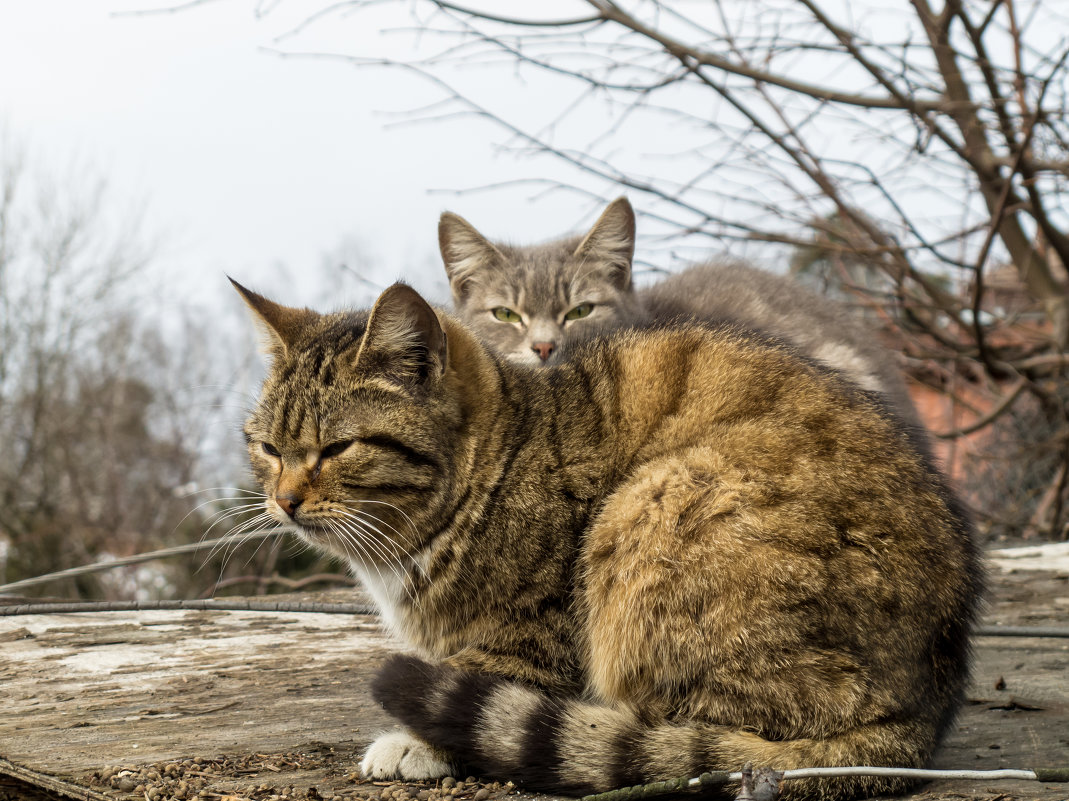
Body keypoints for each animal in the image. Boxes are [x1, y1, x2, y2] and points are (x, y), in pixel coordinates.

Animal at [236, 275, 983, 799]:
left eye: (338, 448)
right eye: (268, 447)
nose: (283, 500)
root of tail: (921, 714)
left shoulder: (534, 633)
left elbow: (481, 671)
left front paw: (413, 742)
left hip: (656, 506)